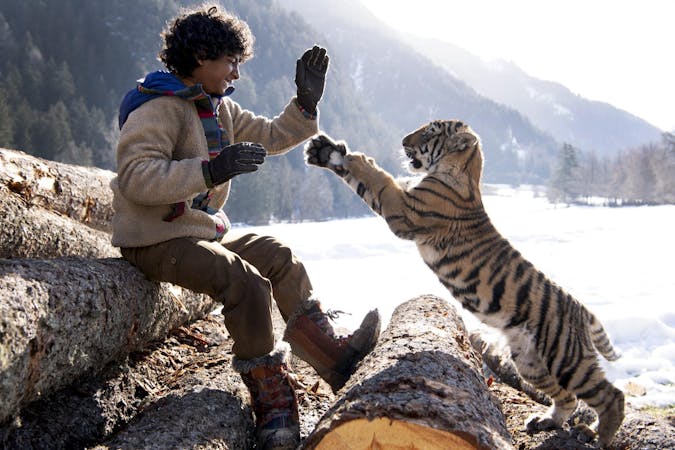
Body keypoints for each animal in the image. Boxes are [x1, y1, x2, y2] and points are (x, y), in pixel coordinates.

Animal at [304, 120, 625, 447]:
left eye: (430, 131)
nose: (404, 140)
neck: (463, 169)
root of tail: (581, 309)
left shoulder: (404, 209)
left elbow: (375, 177)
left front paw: (347, 156)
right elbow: (362, 181)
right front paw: (324, 151)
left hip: (565, 357)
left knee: (611, 395)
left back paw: (598, 436)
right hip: (530, 362)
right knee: (567, 398)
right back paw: (546, 421)